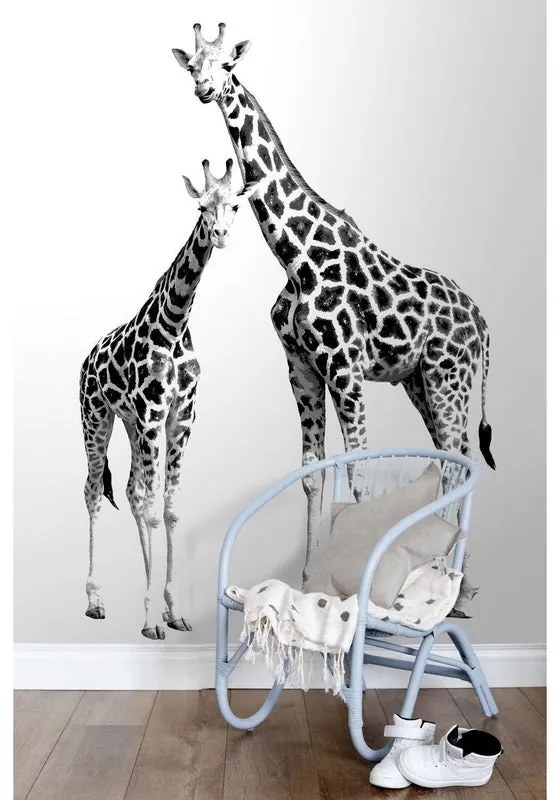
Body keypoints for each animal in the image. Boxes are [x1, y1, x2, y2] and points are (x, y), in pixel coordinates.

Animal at [80, 159, 257, 639]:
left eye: (236, 205)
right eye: (201, 206)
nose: (220, 234)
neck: (176, 323)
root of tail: (85, 360)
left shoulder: (180, 418)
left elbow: (171, 509)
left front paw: (173, 610)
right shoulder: (153, 415)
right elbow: (153, 509)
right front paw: (148, 618)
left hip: (129, 423)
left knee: (129, 489)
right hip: (97, 419)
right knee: (94, 490)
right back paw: (95, 600)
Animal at [173, 25, 495, 613]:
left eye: (229, 64)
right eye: (192, 66)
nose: (205, 90)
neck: (295, 256)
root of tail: (482, 318)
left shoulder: (345, 368)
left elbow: (359, 471)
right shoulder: (301, 366)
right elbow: (311, 473)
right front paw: (306, 579)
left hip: (449, 376)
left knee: (457, 458)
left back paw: (452, 582)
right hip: (419, 380)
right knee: (450, 457)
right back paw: (455, 579)